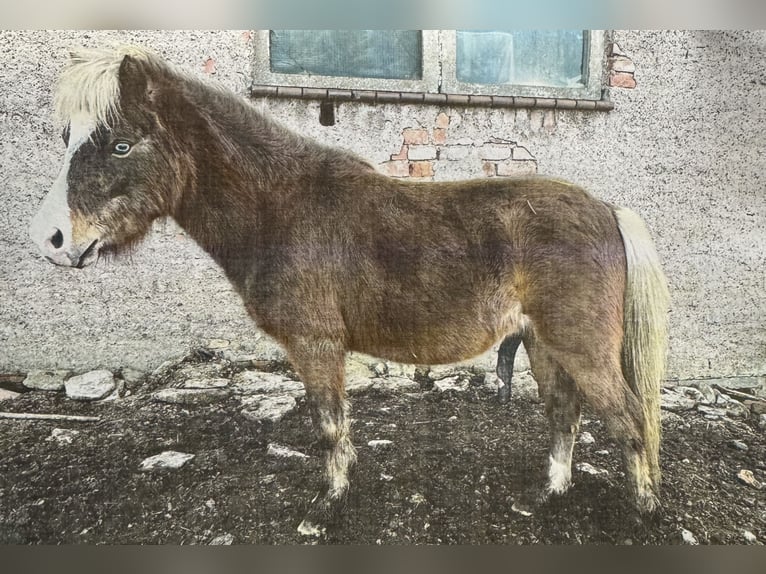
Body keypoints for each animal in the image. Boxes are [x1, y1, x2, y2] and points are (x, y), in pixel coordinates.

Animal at [28, 46, 670, 537]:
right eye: (68, 138)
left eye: (120, 144)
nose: (50, 237)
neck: (280, 208)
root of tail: (607, 209)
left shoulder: (316, 346)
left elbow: (330, 425)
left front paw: (326, 505)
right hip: (543, 344)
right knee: (565, 413)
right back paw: (549, 495)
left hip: (580, 347)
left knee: (629, 418)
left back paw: (644, 514)